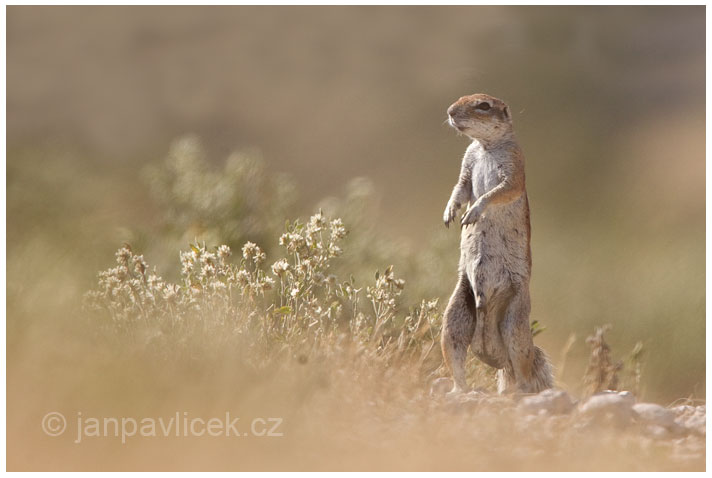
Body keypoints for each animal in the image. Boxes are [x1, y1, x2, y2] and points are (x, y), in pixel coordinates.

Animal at [440, 94, 556, 396]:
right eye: (459, 98)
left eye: (483, 106)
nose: (450, 112)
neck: (485, 147)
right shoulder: (467, 165)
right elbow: (460, 188)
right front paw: (450, 212)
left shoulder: (514, 166)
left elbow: (499, 191)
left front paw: (473, 212)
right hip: (455, 316)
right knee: (456, 356)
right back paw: (458, 390)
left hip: (515, 322)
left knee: (521, 365)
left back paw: (519, 392)